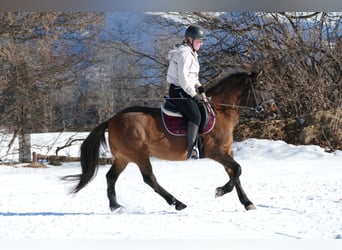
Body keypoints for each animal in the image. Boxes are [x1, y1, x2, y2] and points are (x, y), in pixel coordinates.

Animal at [64, 70, 278, 211]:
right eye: (261, 87)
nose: (274, 112)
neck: (221, 111)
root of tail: (112, 119)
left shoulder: (226, 151)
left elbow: (236, 173)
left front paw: (247, 203)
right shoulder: (215, 152)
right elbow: (238, 169)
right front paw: (219, 191)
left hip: (123, 157)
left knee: (111, 177)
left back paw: (115, 206)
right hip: (139, 155)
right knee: (149, 179)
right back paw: (177, 203)